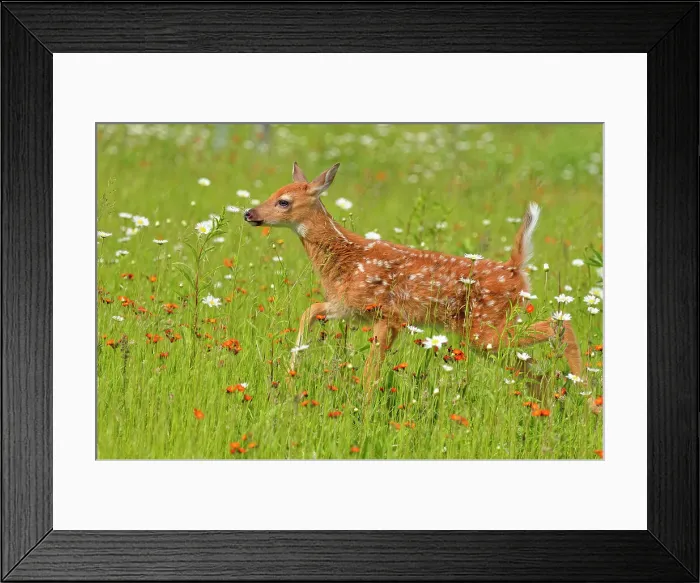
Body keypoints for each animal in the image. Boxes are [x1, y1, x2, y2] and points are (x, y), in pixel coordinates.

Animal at [243, 162, 583, 397]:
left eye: (284, 201)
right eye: (272, 194)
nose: (249, 213)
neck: (348, 257)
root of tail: (515, 269)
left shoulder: (386, 314)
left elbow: (370, 374)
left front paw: (364, 410)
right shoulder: (349, 306)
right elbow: (310, 310)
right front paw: (294, 364)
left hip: (486, 328)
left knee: (561, 327)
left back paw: (586, 393)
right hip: (488, 335)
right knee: (537, 372)